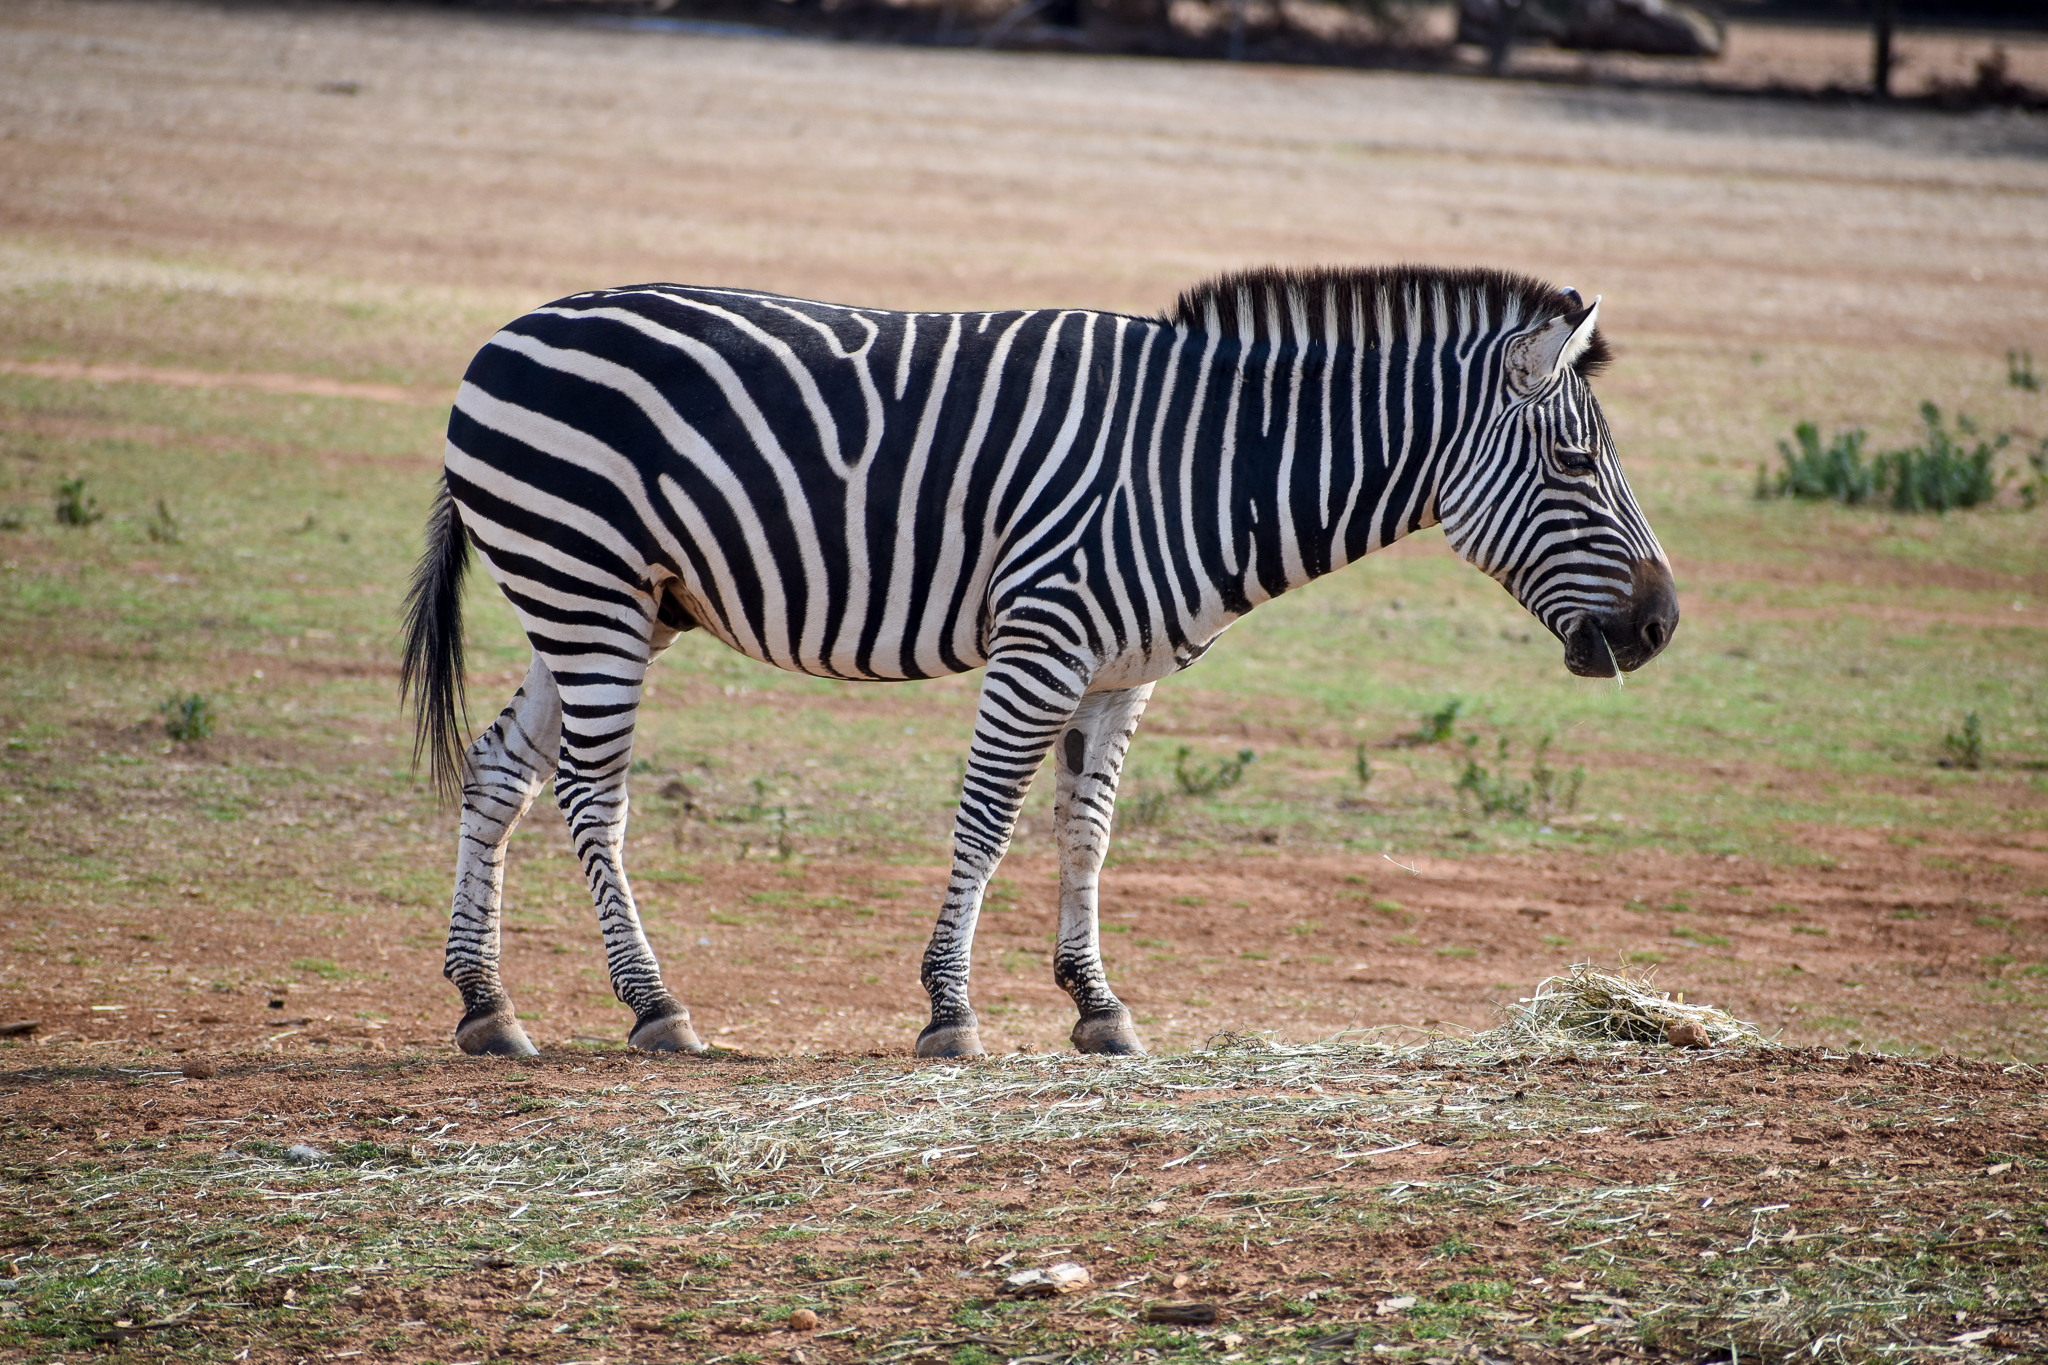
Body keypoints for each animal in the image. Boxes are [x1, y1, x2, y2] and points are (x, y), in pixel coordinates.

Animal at [401, 264, 1677, 1060]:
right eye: (1573, 463)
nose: (1660, 628)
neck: (1213, 463)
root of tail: (511, 329)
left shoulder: (1121, 669)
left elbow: (1085, 831)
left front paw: (1097, 1005)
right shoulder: (1043, 638)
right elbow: (985, 821)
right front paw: (948, 1011)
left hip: (607, 599)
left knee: (501, 768)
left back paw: (485, 1006)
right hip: (585, 583)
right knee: (591, 794)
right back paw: (654, 1005)